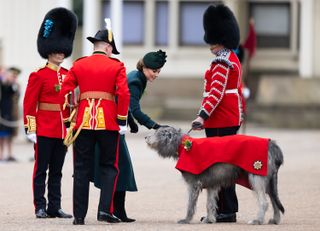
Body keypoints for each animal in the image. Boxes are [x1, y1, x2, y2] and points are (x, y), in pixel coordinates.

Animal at [146, 125, 284, 225]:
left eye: (158, 132)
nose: (146, 137)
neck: (184, 145)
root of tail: (272, 144)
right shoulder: (212, 183)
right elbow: (210, 203)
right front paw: (210, 219)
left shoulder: (194, 183)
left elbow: (190, 203)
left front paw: (186, 219)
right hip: (269, 180)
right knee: (273, 198)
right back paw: (275, 220)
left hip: (256, 175)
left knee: (264, 201)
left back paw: (258, 220)